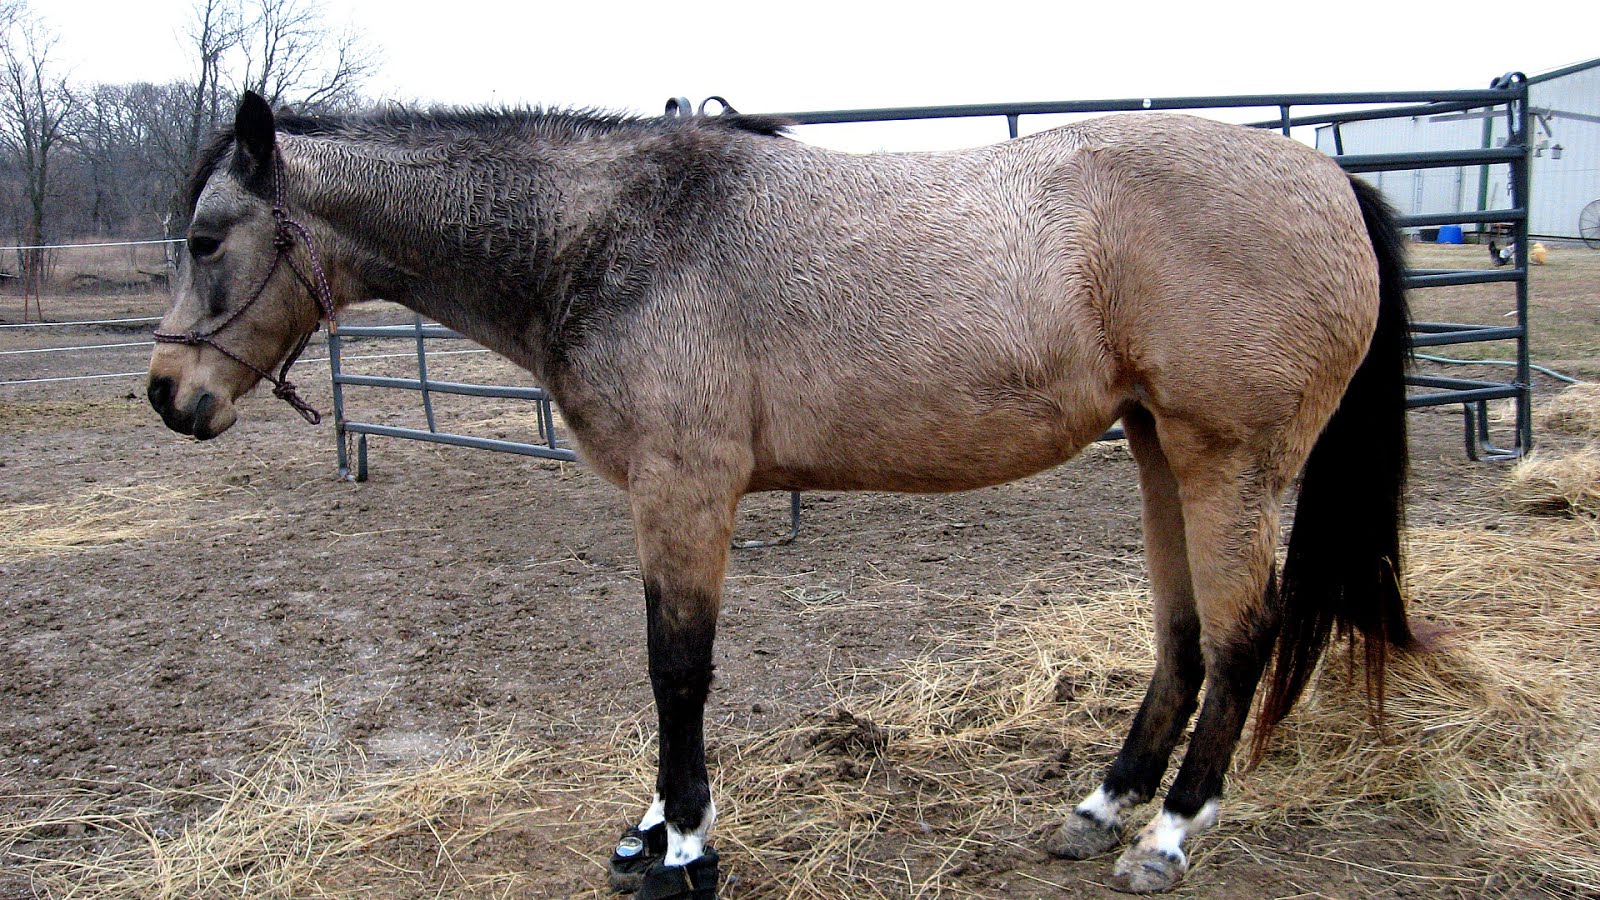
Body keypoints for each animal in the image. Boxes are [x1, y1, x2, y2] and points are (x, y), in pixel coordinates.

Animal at [147, 91, 1415, 896]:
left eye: (208, 238)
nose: (169, 395)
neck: (612, 235)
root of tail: (1327, 175)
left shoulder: (686, 491)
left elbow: (677, 668)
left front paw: (682, 847)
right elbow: (664, 665)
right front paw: (653, 829)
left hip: (1225, 460)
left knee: (1242, 638)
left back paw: (1169, 832)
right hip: (1158, 447)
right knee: (1182, 637)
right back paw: (1102, 806)